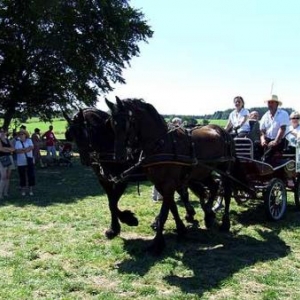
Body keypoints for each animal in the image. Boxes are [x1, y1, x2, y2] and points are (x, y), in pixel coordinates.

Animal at [65, 107, 196, 239]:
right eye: (72, 134)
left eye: (83, 132)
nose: (86, 160)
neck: (110, 144)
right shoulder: (105, 181)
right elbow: (111, 203)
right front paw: (114, 228)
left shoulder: (122, 180)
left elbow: (113, 203)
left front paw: (128, 220)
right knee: (176, 196)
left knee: (179, 195)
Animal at [106, 97, 248, 254]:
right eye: (112, 124)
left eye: (126, 123)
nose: (119, 157)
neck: (161, 143)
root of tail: (223, 131)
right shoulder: (160, 184)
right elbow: (172, 207)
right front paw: (181, 229)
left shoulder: (168, 184)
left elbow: (164, 213)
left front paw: (157, 243)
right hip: (203, 171)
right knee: (214, 187)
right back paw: (208, 214)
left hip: (225, 170)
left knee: (227, 193)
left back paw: (225, 223)